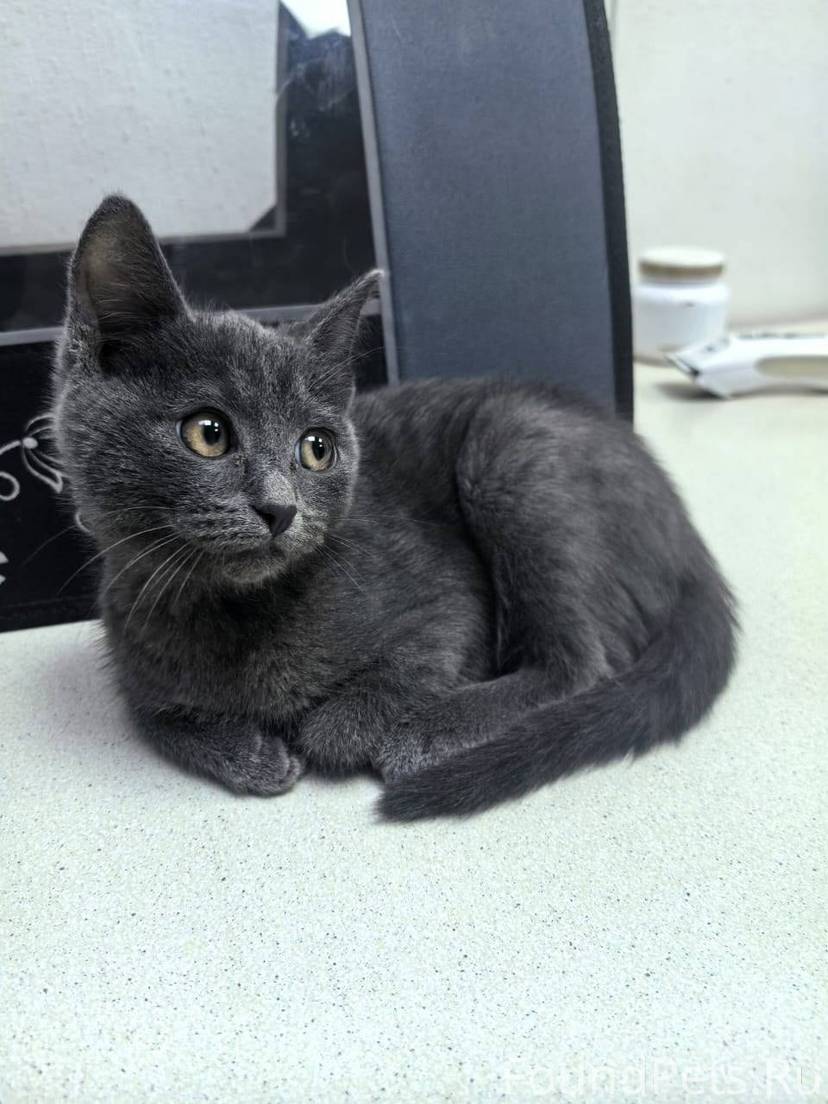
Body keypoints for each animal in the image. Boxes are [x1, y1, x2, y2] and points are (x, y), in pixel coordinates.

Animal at [52, 195, 737, 820]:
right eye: (208, 433)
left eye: (316, 448)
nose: (279, 508)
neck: (231, 613)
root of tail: (690, 539)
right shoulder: (132, 654)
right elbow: (158, 717)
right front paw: (250, 752)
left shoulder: (449, 600)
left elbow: (404, 668)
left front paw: (341, 729)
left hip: (510, 448)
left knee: (579, 662)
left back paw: (430, 732)